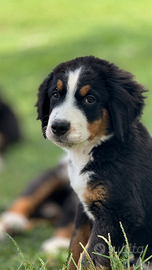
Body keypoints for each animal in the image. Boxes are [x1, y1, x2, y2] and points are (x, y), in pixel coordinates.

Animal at [36, 56, 152, 268]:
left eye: (90, 99)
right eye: (55, 94)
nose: (58, 127)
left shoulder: (118, 212)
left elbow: (89, 257)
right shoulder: (84, 208)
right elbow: (75, 248)